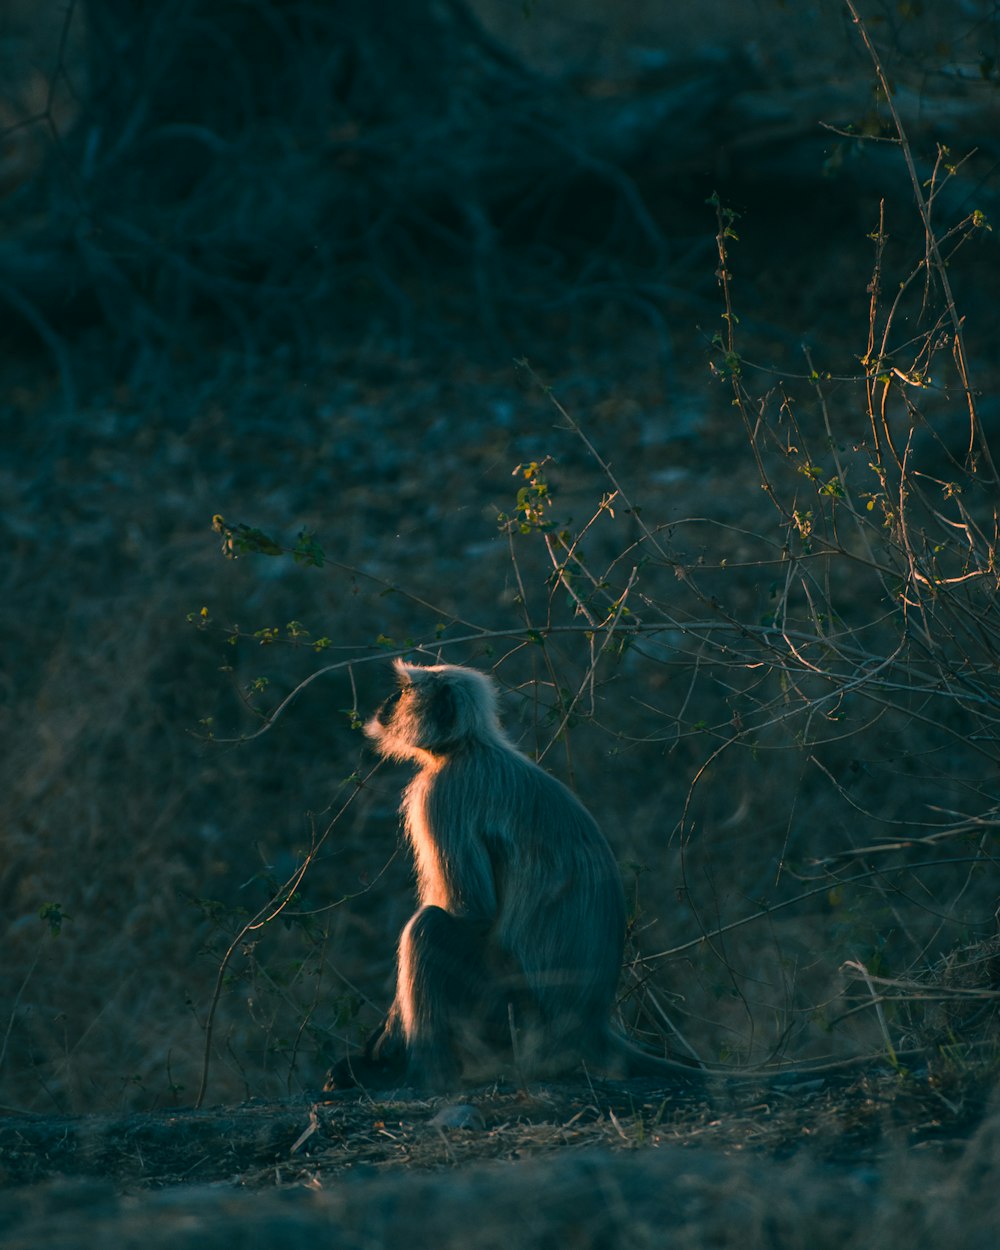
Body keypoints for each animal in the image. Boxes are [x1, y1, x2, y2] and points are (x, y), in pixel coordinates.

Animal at [330, 660, 705, 1090]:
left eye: (406, 691)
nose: (389, 701)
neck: (468, 747)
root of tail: (590, 1027)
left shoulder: (441, 793)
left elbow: (470, 912)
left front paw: (387, 1046)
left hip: (510, 1014)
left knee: (430, 927)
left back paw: (423, 1075)